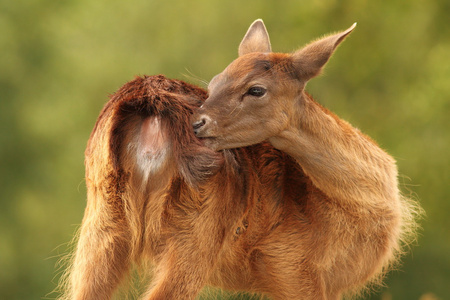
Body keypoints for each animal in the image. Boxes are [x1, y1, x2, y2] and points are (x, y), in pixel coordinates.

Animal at [59, 21, 418, 300]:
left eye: (255, 89)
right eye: (215, 82)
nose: (198, 123)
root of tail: (150, 101)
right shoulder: (292, 262)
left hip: (102, 220)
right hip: (197, 226)